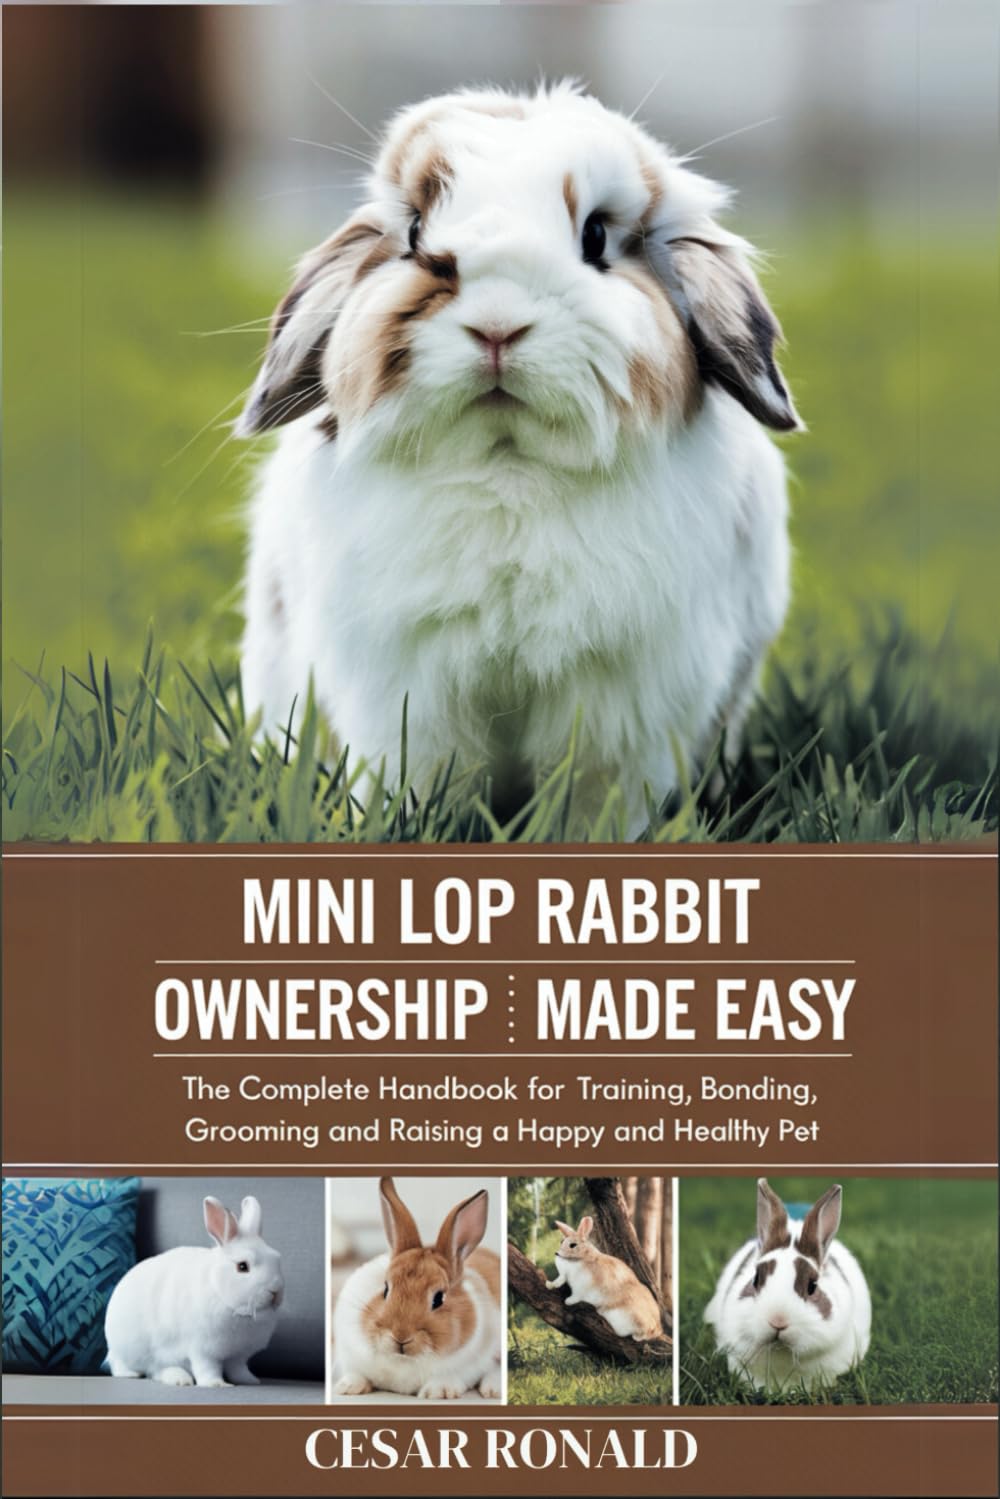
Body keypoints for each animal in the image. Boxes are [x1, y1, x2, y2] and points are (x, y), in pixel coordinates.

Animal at [104, 1195, 284, 1388]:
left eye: (277, 1259)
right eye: (242, 1267)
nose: (276, 1291)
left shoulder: (238, 1356)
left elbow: (238, 1369)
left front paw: (250, 1380)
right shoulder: (203, 1350)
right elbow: (207, 1368)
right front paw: (216, 1384)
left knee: (157, 1371)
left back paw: (179, 1379)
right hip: (129, 1350)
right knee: (125, 1364)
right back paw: (136, 1375)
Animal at [238, 82, 801, 837]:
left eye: (595, 238)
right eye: (414, 233)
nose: (498, 326)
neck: (508, 470)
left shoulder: (622, 708)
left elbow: (595, 798)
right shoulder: (406, 697)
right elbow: (424, 781)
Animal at [332, 1177, 501, 1400]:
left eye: (438, 1298)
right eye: (385, 1289)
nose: (401, 1337)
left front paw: (439, 1392)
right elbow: (356, 1373)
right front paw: (348, 1386)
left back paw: (493, 1390)